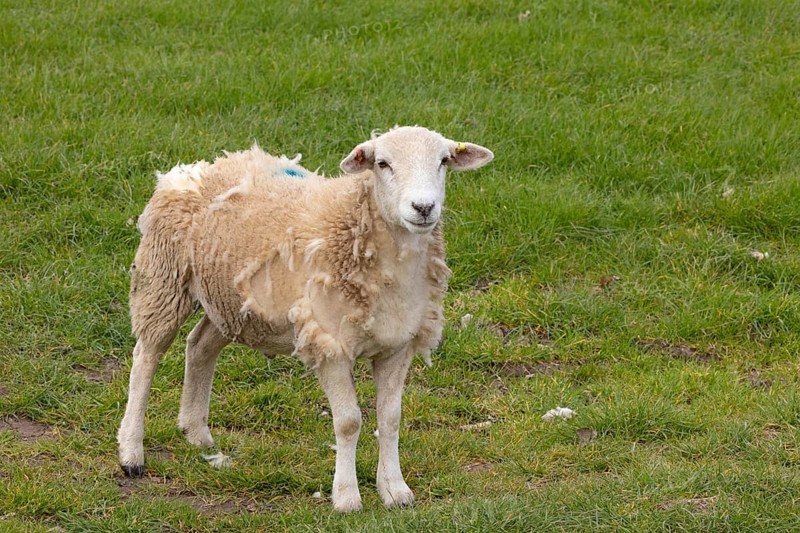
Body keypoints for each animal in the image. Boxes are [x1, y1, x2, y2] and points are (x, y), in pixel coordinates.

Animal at [117, 126, 494, 512]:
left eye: (444, 161)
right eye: (382, 163)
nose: (423, 208)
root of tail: (200, 166)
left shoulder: (397, 345)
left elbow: (390, 419)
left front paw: (394, 489)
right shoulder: (330, 345)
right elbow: (349, 422)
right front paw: (347, 497)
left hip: (231, 302)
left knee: (199, 345)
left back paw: (196, 432)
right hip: (163, 278)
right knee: (146, 357)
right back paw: (131, 452)